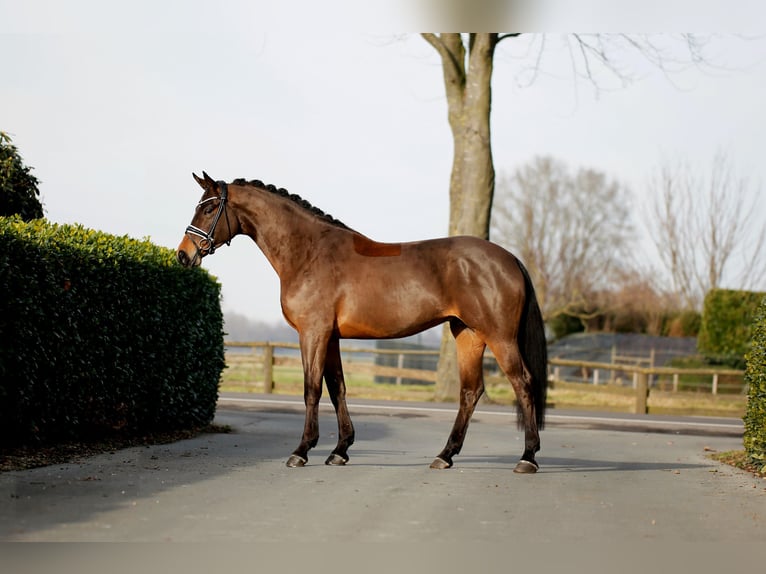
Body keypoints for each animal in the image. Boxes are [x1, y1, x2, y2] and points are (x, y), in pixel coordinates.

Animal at [177, 172, 548, 473]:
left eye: (209, 209)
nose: (183, 255)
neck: (309, 252)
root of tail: (510, 259)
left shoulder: (313, 333)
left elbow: (312, 389)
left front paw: (302, 450)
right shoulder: (332, 337)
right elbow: (336, 387)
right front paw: (339, 451)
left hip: (499, 337)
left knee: (523, 382)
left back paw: (527, 457)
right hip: (468, 334)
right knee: (471, 391)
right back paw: (445, 456)